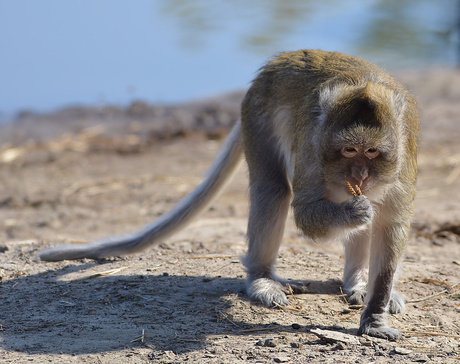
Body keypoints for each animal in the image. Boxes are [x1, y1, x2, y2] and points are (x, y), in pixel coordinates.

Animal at [41, 49, 418, 340]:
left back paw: (357, 282)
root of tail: (277, 62)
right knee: (273, 190)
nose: (359, 176)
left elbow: (390, 227)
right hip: (258, 117)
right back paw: (262, 279)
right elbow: (308, 212)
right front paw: (353, 212)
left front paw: (374, 313)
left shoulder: (403, 161)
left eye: (371, 152)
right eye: (349, 150)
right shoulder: (313, 143)